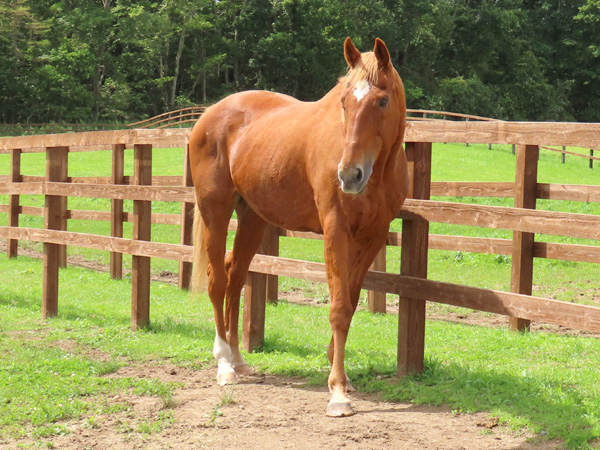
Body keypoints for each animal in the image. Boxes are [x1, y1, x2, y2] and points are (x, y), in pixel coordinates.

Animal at [190, 37, 410, 416]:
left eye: (382, 101)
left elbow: (350, 302)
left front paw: (343, 377)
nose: (349, 175)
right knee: (217, 282)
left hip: (252, 219)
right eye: (344, 102)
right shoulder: (335, 230)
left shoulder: (373, 237)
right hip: (214, 212)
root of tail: (209, 115)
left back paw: (238, 359)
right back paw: (224, 365)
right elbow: (338, 307)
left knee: (235, 278)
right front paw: (337, 392)